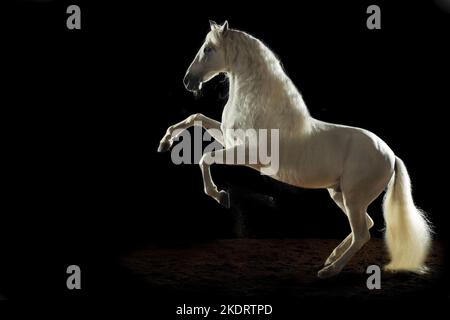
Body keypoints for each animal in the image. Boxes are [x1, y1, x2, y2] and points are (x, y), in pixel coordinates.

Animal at [158, 21, 432, 278]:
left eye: (208, 49)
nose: (188, 81)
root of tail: (390, 155)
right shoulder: (229, 141)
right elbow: (196, 118)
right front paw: (165, 142)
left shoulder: (245, 153)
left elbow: (205, 158)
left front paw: (220, 196)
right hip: (340, 194)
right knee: (366, 224)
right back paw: (331, 258)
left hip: (354, 198)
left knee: (362, 233)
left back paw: (329, 271)